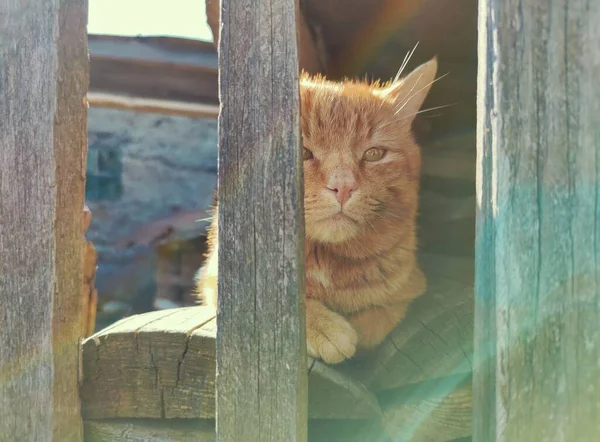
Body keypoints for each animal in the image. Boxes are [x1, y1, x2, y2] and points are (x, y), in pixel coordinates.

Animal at [196, 57, 436, 364]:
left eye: (373, 154)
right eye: (302, 152)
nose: (343, 186)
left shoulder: (413, 286)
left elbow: (381, 314)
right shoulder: (216, 281)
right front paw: (324, 328)